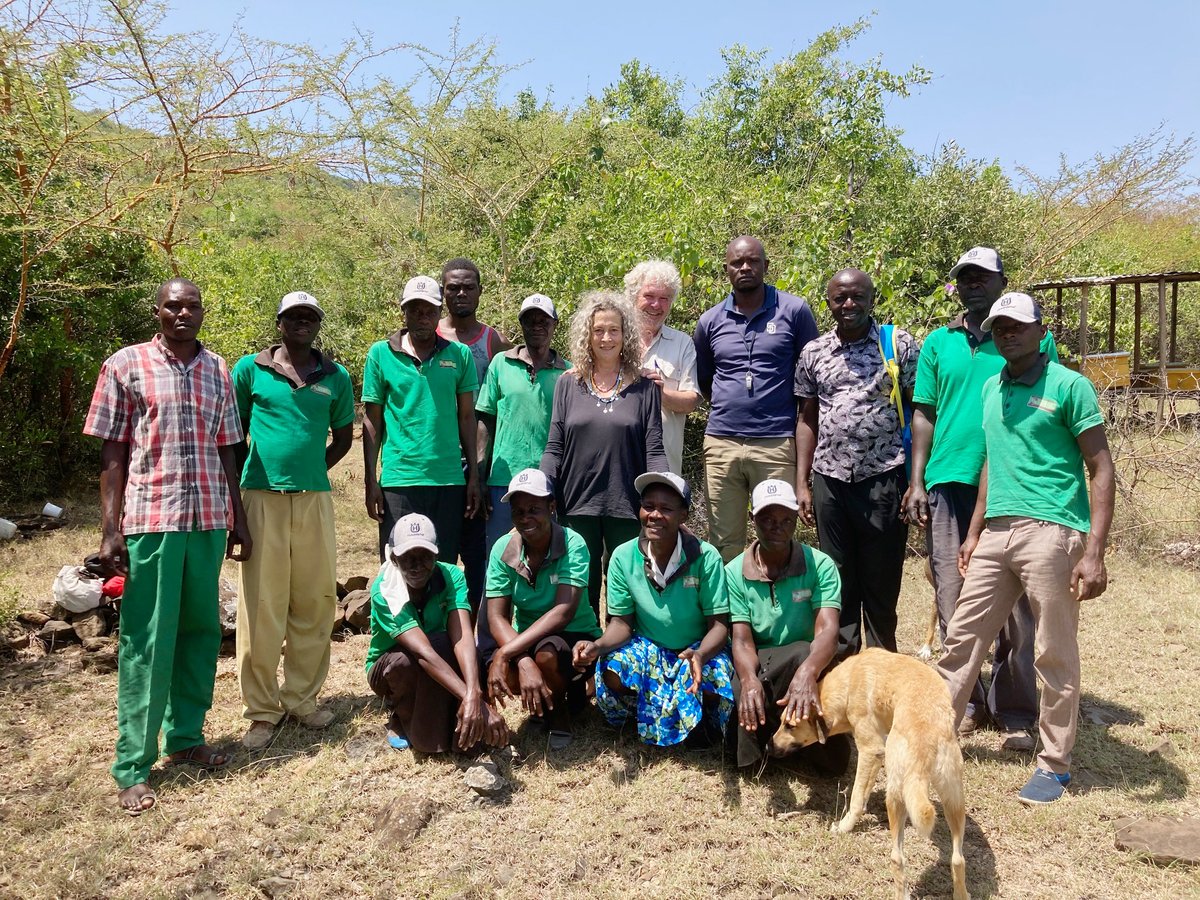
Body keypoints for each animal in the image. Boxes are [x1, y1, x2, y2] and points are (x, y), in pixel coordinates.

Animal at [772, 652, 969, 900]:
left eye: (790, 725)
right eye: (781, 722)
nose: (769, 746)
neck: (848, 682)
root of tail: (925, 738)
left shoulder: (870, 749)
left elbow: (857, 797)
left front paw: (845, 826)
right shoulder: (875, 754)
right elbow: (863, 792)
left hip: (897, 797)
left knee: (897, 858)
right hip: (954, 800)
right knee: (958, 859)